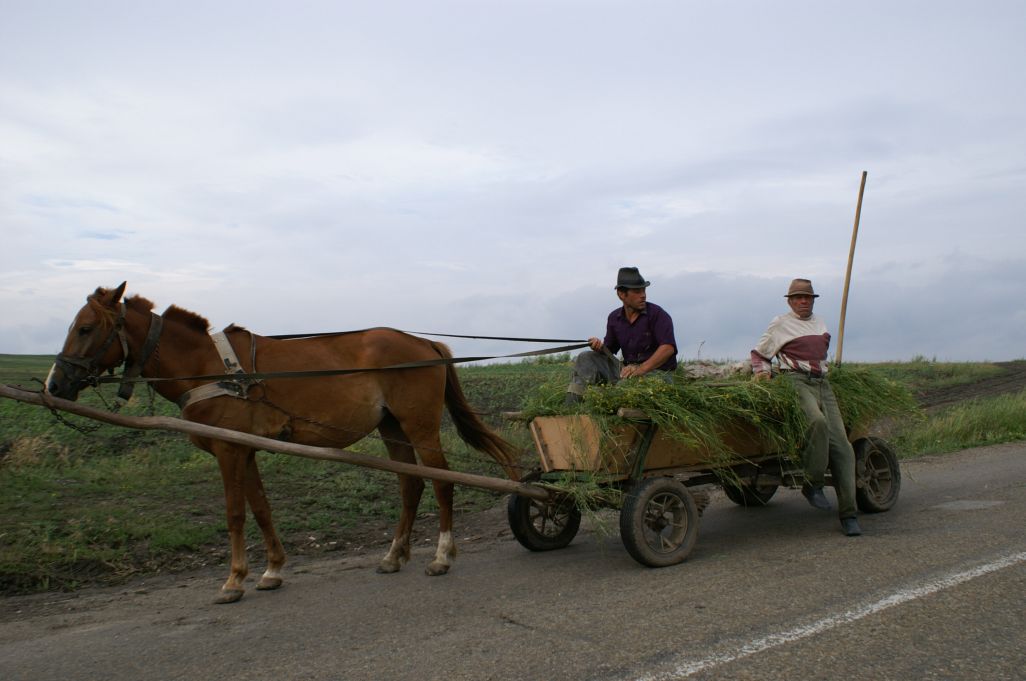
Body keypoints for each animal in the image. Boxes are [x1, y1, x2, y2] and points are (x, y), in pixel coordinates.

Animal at [45, 282, 522, 603]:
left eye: (85, 328)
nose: (55, 384)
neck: (207, 367)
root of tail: (425, 342)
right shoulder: (245, 449)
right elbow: (260, 508)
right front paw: (272, 570)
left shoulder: (229, 452)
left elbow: (235, 514)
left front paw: (234, 579)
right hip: (392, 428)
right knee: (411, 485)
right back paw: (394, 554)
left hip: (420, 426)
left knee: (442, 482)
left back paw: (442, 555)